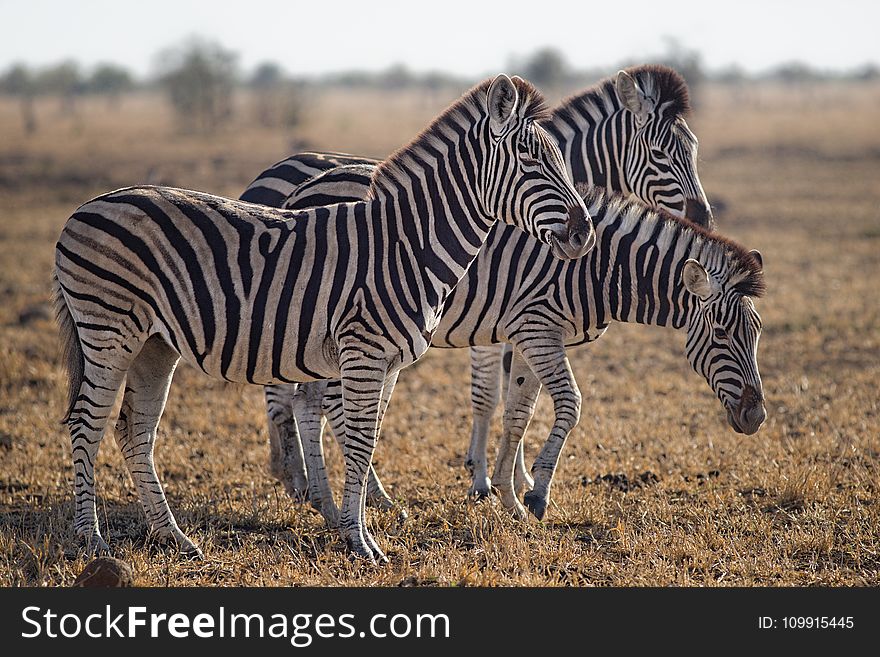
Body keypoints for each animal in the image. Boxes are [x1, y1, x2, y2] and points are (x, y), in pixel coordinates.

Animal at [51, 74, 596, 560]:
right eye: (529, 158)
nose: (584, 234)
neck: (407, 245)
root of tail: (84, 208)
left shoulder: (386, 361)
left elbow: (367, 440)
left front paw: (356, 529)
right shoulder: (364, 352)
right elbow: (357, 443)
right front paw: (360, 543)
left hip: (154, 344)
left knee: (134, 429)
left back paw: (174, 537)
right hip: (108, 330)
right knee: (87, 423)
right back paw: (91, 539)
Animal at [251, 62, 720, 508]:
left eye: (695, 149)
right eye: (659, 153)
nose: (703, 220)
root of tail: (295, 185)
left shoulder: (508, 324)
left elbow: (518, 399)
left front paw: (514, 478)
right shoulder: (500, 319)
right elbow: (490, 397)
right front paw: (486, 482)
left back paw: (299, 478)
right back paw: (320, 484)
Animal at [270, 178, 764, 524]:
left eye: (757, 333)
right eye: (722, 333)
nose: (757, 417)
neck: (597, 267)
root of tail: (302, 189)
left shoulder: (531, 337)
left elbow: (517, 415)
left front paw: (508, 497)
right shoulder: (537, 328)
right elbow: (570, 404)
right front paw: (537, 493)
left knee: (309, 403)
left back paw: (341, 500)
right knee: (323, 406)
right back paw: (349, 501)